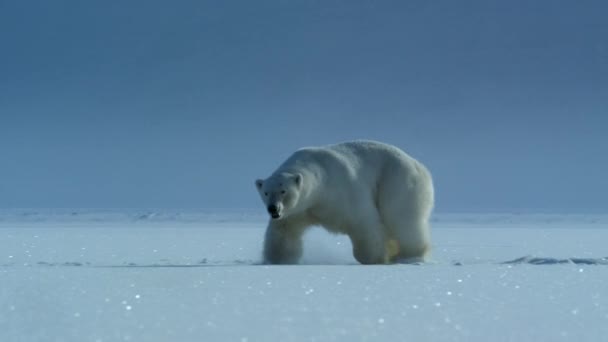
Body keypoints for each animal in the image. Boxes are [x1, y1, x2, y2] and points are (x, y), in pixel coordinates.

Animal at [254, 139, 434, 264]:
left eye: (283, 191)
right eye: (266, 192)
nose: (273, 209)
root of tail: (420, 166)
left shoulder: (343, 191)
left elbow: (363, 222)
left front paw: (374, 258)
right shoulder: (298, 210)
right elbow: (283, 231)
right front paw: (277, 259)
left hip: (397, 180)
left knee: (401, 218)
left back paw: (409, 255)